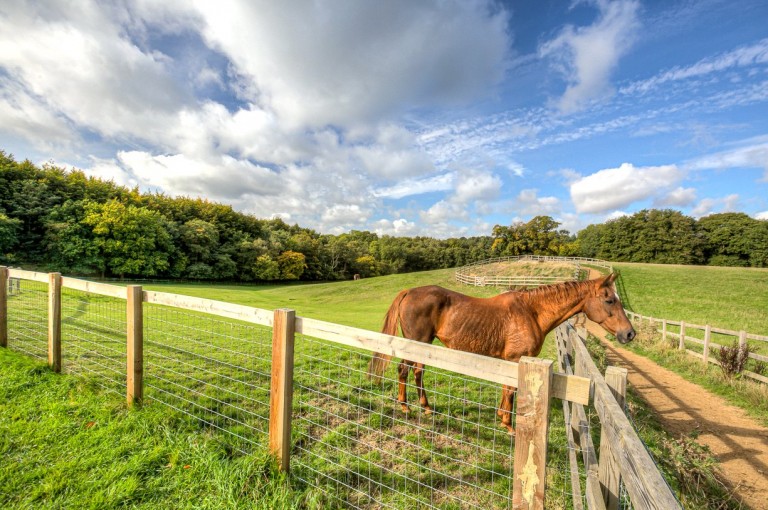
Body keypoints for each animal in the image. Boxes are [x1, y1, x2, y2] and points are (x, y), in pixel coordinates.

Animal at [368, 272, 632, 432]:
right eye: (609, 300)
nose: (629, 334)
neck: (531, 311)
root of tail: (408, 292)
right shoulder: (516, 360)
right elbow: (512, 390)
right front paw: (508, 423)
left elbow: (507, 390)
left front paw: (502, 417)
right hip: (415, 343)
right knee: (404, 370)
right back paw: (405, 406)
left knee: (417, 372)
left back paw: (426, 406)